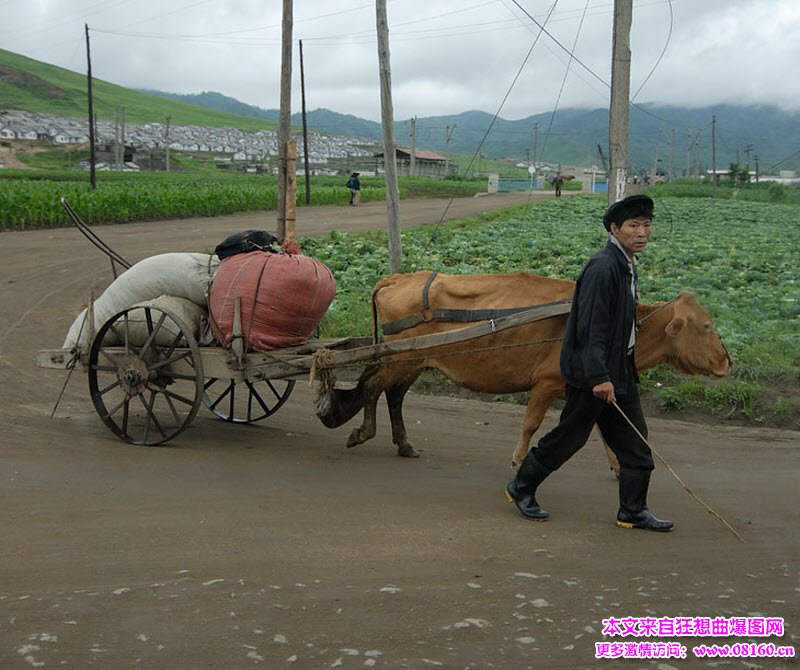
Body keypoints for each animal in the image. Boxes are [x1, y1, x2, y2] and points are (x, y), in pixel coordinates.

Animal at [314, 272, 732, 468]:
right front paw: (517, 460)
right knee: (373, 386)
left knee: (393, 393)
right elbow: (530, 425)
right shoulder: (547, 383)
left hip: (413, 360)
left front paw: (618, 466)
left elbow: (610, 432)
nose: (727, 362)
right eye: (705, 326)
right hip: (403, 358)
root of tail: (399, 277)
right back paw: (363, 432)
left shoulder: (593, 388)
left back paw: (403, 444)